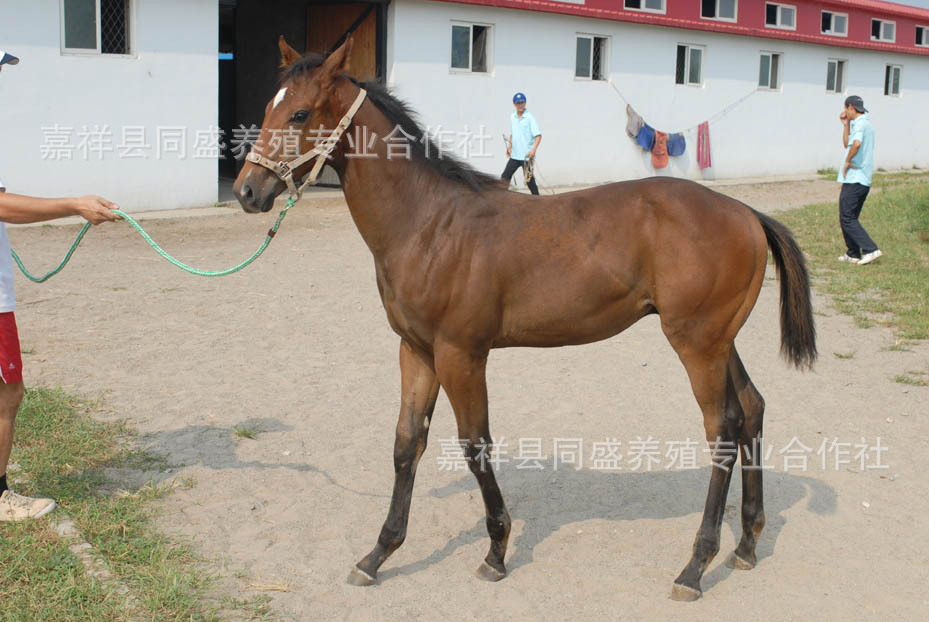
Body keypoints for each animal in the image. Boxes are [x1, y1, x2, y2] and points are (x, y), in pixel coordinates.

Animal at [233, 37, 816, 601]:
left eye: (300, 113)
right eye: (267, 108)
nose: (246, 191)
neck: (429, 223)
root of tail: (746, 213)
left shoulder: (461, 354)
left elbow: (474, 446)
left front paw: (495, 551)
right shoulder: (416, 350)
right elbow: (406, 444)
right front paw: (378, 554)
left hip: (696, 344)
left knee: (722, 430)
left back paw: (695, 567)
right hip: (718, 340)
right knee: (751, 409)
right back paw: (746, 543)